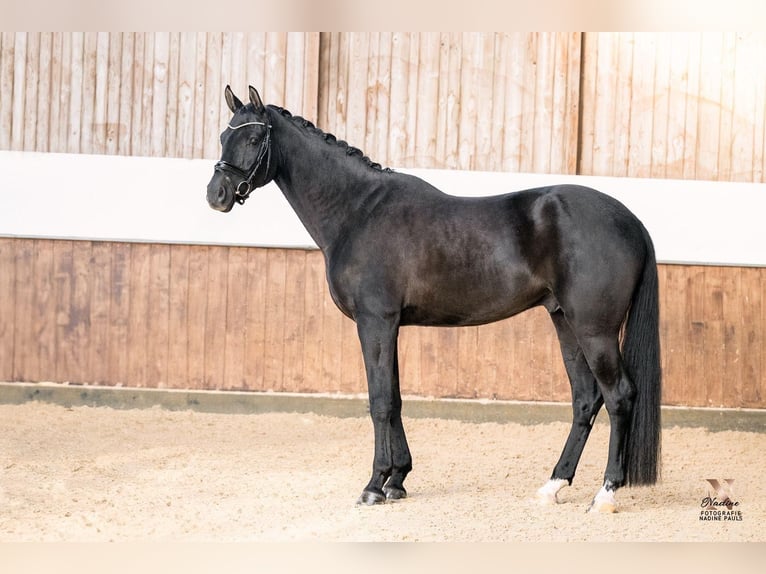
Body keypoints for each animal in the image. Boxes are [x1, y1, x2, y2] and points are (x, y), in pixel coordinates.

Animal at [206, 86, 662, 513]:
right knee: (586, 399)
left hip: (595, 331)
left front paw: (374, 485)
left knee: (619, 395)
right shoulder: (389, 325)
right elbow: (395, 399)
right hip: (565, 321)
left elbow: (379, 402)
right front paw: (397, 480)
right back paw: (553, 485)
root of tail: (632, 220)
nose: (217, 194)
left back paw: (605, 494)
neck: (359, 211)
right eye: (223, 137)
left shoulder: (375, 322)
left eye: (253, 138)